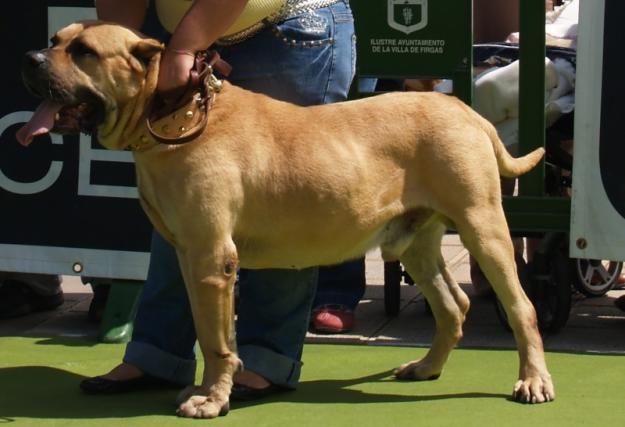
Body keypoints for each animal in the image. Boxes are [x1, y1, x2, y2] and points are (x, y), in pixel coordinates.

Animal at [18, 22, 556, 418]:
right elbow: (210, 330)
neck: (173, 112)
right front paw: (212, 389)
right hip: (414, 243)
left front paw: (211, 400)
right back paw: (426, 368)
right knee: (452, 305)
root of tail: (466, 111)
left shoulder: (211, 258)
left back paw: (533, 381)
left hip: (484, 228)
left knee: (522, 308)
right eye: (56, 40)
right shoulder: (189, 256)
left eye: (84, 51)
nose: (31, 59)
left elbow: (215, 341)